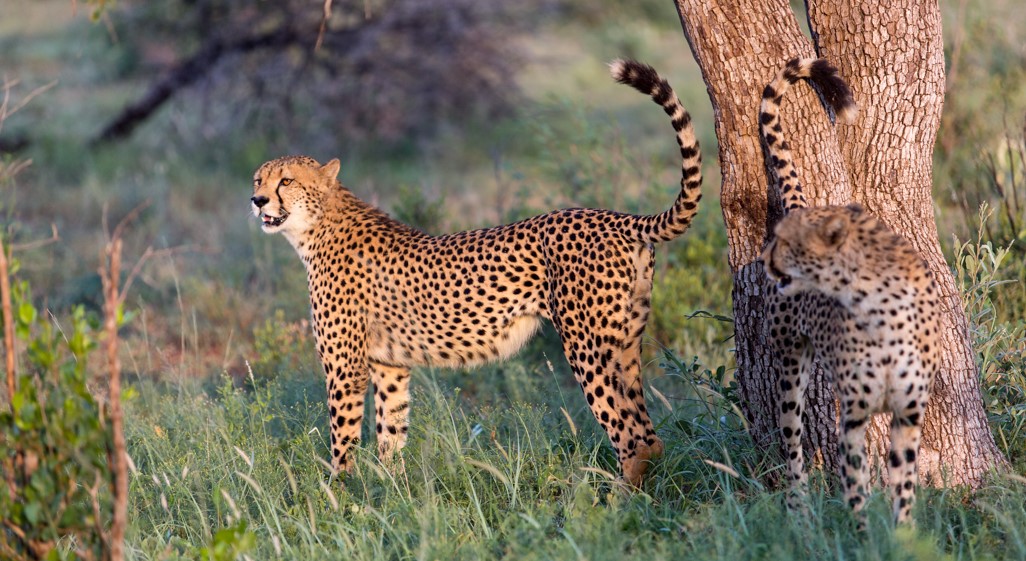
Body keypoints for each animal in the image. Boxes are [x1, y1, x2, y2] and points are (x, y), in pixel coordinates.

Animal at [249, 59, 704, 486]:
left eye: (286, 181)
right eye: (257, 180)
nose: (256, 200)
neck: (316, 226)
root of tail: (614, 216)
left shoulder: (345, 367)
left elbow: (342, 438)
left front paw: (340, 494)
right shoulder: (389, 366)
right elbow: (390, 432)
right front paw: (393, 493)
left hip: (588, 345)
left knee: (630, 434)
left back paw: (617, 500)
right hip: (625, 344)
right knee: (650, 434)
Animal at [758, 57, 941, 525]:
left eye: (784, 242)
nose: (764, 260)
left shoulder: (908, 414)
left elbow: (903, 487)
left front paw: (902, 533)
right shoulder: (855, 417)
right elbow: (856, 486)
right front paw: (860, 532)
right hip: (790, 367)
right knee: (792, 444)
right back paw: (800, 512)